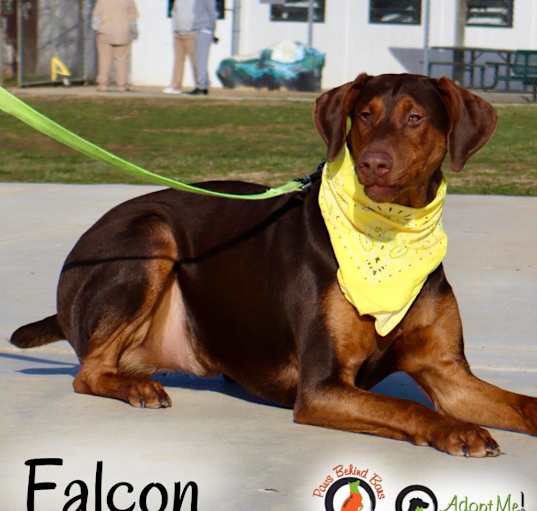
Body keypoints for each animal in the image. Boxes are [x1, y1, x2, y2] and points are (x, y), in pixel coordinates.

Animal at [11, 73, 536, 456]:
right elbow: (410, 410)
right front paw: (456, 429)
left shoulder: (449, 374)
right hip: (152, 235)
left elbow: (522, 404)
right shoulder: (322, 385)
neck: (389, 236)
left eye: (415, 117)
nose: (373, 163)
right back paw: (136, 387)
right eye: (364, 115)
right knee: (88, 371)